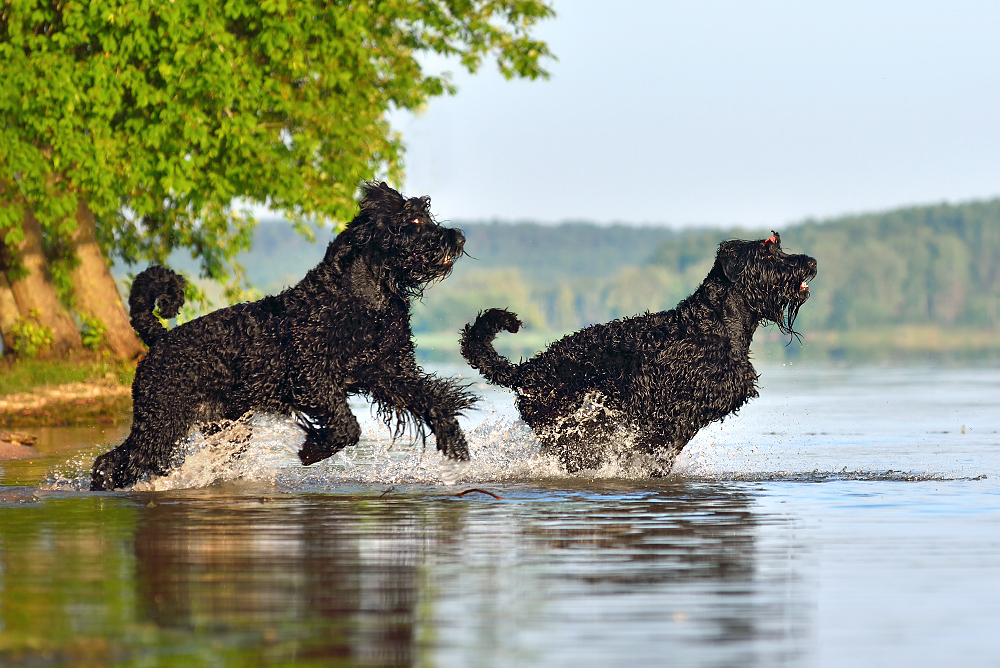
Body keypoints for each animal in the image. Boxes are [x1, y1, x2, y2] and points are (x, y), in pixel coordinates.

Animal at [92, 183, 474, 490]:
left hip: (222, 427)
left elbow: (434, 399)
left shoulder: (388, 374)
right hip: (161, 420)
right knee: (112, 463)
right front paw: (312, 450)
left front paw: (455, 442)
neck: (357, 297)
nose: (457, 237)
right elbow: (347, 426)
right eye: (412, 222)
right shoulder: (313, 379)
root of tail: (159, 338)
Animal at [464, 235, 816, 474]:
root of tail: (529, 370)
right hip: (574, 430)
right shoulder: (670, 414)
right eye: (767, 254)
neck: (714, 323)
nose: (810, 263)